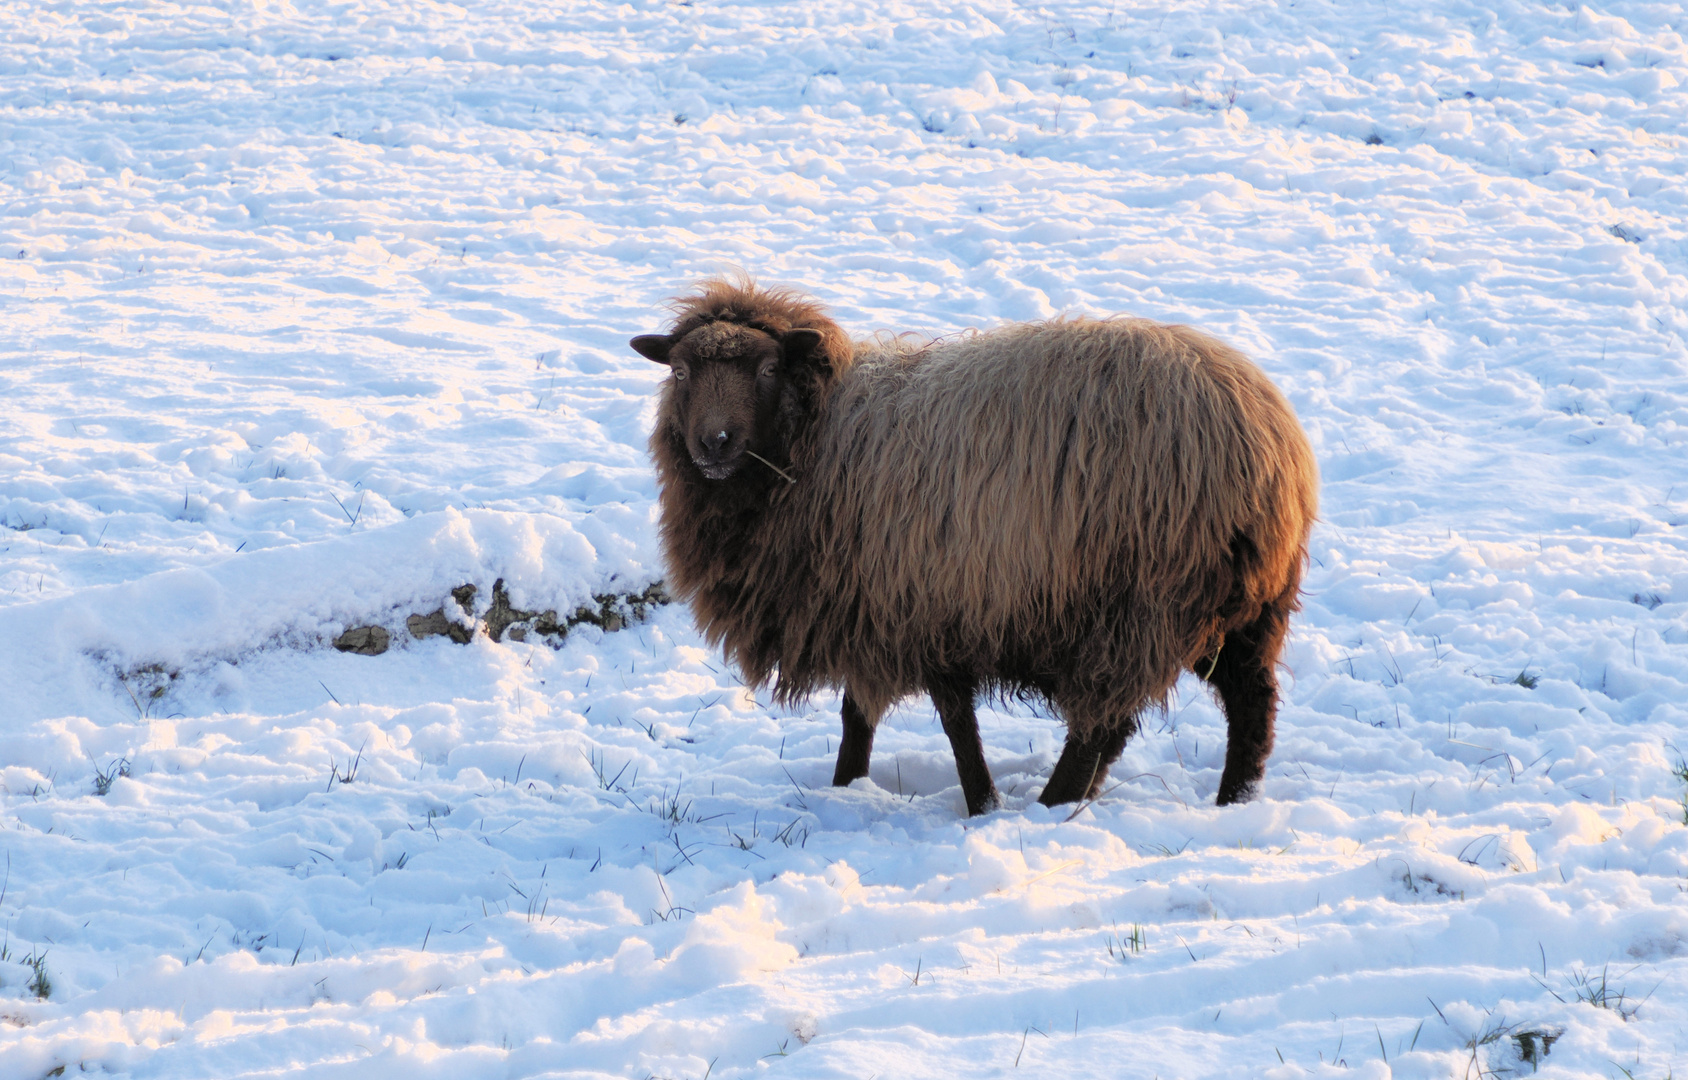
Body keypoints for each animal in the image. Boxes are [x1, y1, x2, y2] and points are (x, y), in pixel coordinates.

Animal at [634, 278, 1316, 816]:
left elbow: (955, 724)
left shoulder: (927, 605)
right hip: (1246, 607)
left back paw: (1055, 804)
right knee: (1251, 703)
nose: (714, 443)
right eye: (681, 372)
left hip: (1137, 603)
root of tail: (1267, 439)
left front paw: (980, 804)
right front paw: (846, 786)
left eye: (769, 369)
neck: (818, 439)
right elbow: (859, 714)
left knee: (1103, 722)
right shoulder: (873, 604)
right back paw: (1234, 802)